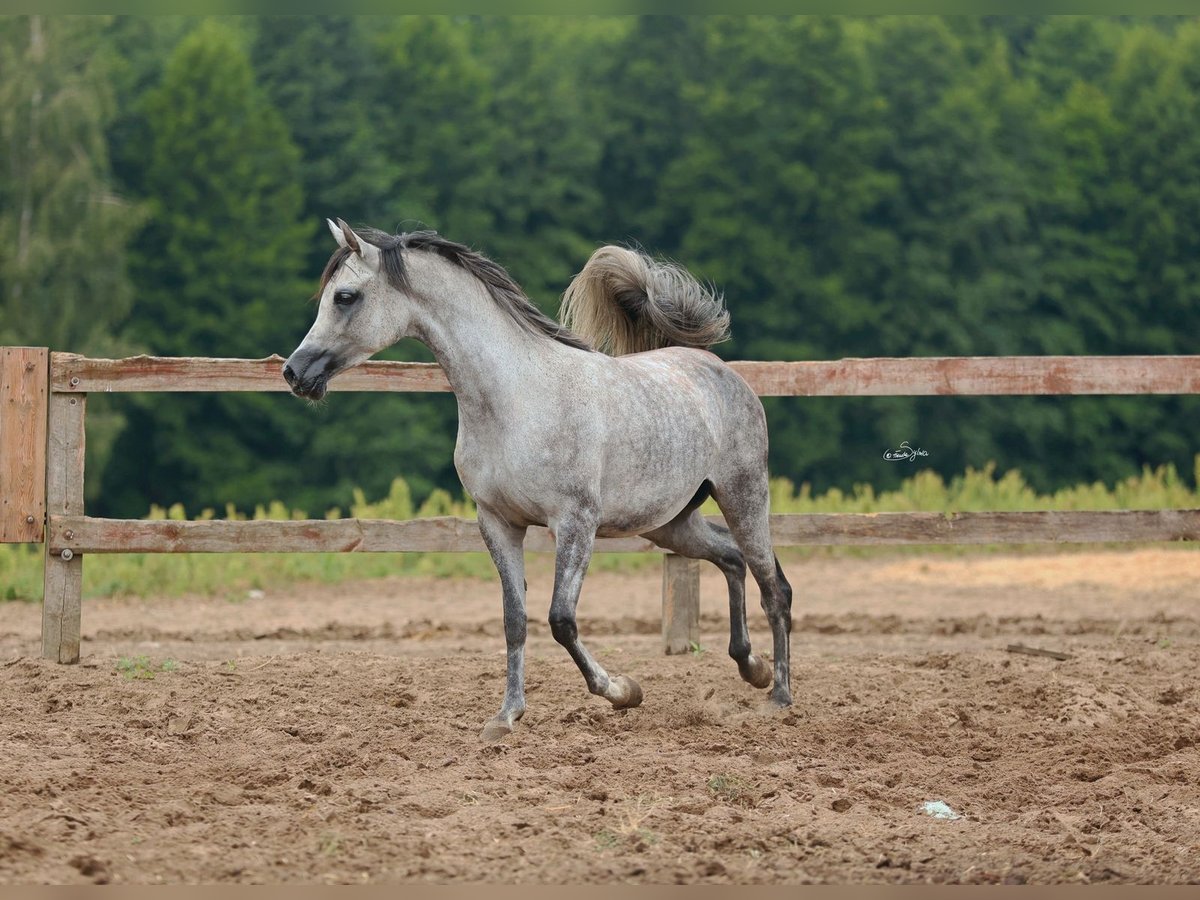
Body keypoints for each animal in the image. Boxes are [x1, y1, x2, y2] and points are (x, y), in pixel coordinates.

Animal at [284, 218, 792, 739]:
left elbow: (561, 619)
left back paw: (778, 696)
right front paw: (506, 717)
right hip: (669, 523)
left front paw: (623, 691)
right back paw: (751, 667)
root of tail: (714, 366)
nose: (294, 372)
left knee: (774, 586)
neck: (516, 400)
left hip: (743, 495)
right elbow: (515, 620)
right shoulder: (498, 523)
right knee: (731, 559)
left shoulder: (575, 523)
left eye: (345, 297)